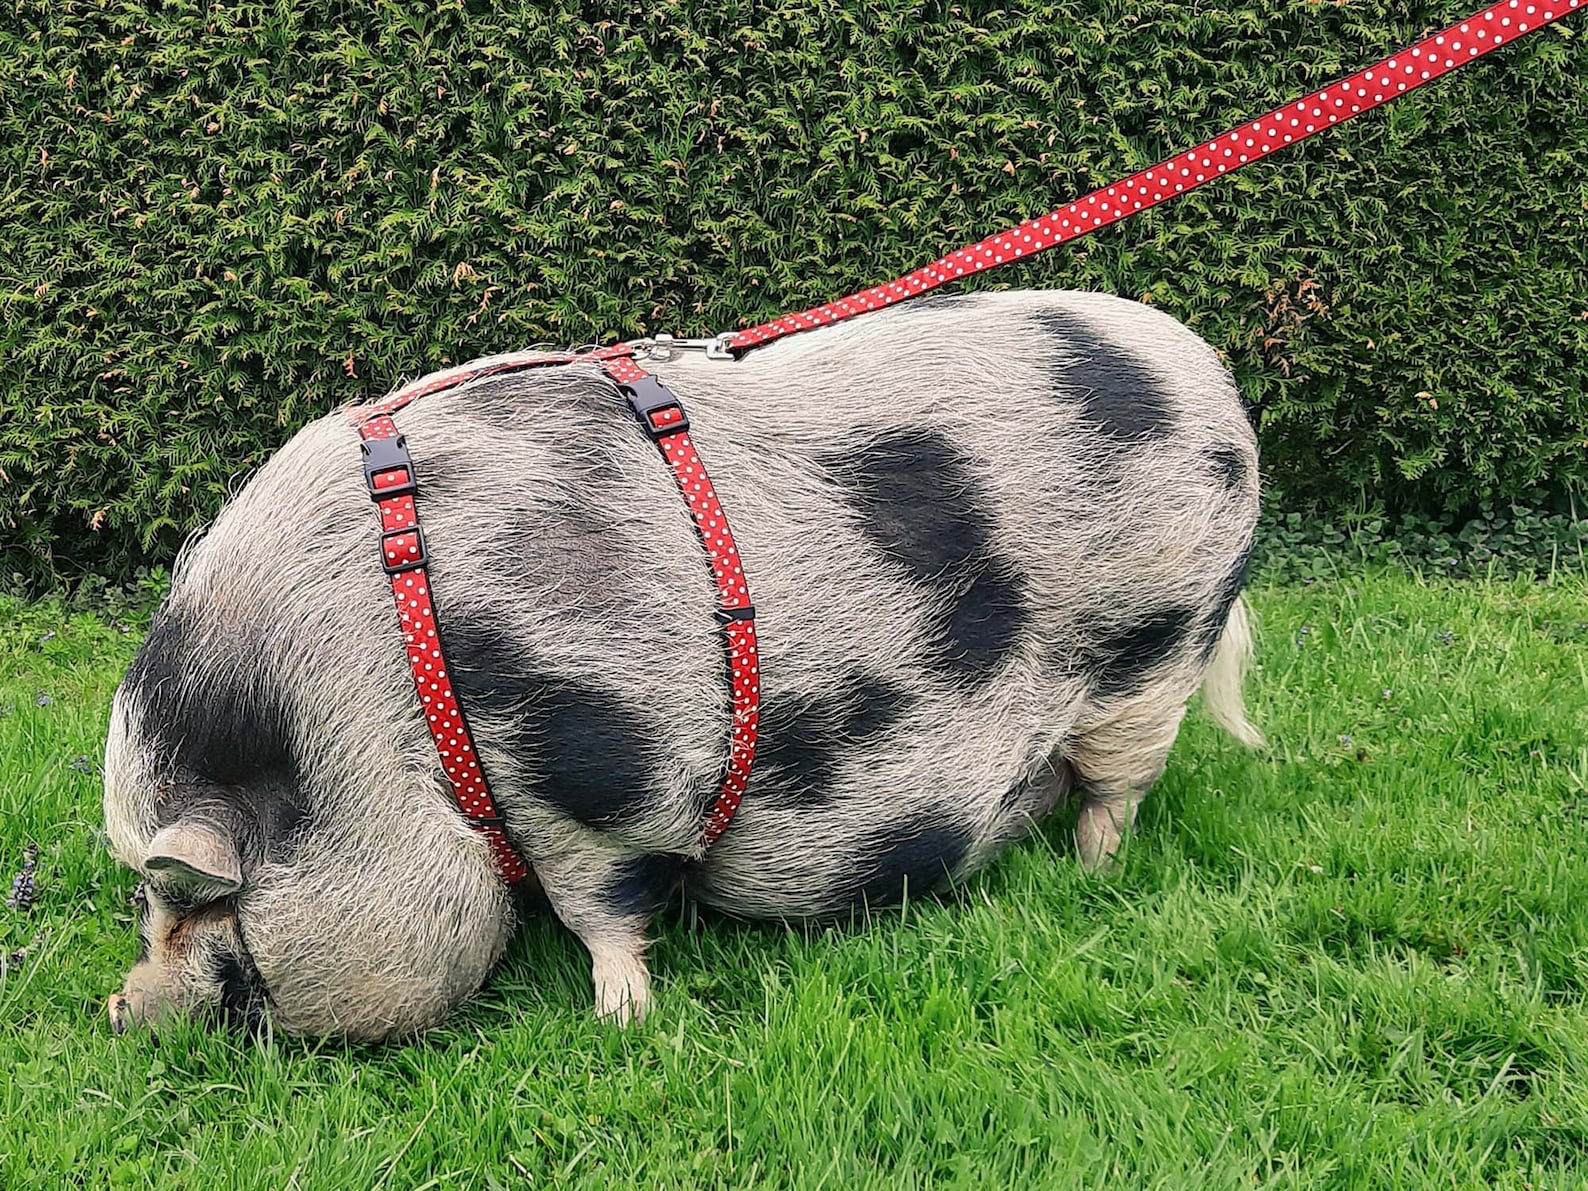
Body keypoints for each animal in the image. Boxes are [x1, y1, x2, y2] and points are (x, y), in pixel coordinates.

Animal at [102, 289, 1262, 1041]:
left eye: (195, 907)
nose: (116, 1009)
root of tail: (1214, 379)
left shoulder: (605, 776)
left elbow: (604, 909)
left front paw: (619, 1026)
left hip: (1154, 650)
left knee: (1119, 784)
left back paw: (1090, 874)